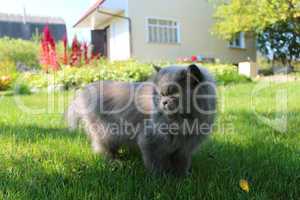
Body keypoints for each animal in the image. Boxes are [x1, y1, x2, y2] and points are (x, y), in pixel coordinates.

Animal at [66, 65, 216, 176]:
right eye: (160, 94)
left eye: (174, 94)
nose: (163, 102)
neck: (182, 123)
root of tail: (84, 91)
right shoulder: (149, 142)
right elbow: (155, 164)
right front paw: (162, 178)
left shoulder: (184, 148)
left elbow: (182, 164)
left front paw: (182, 177)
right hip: (107, 133)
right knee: (103, 150)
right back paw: (115, 162)